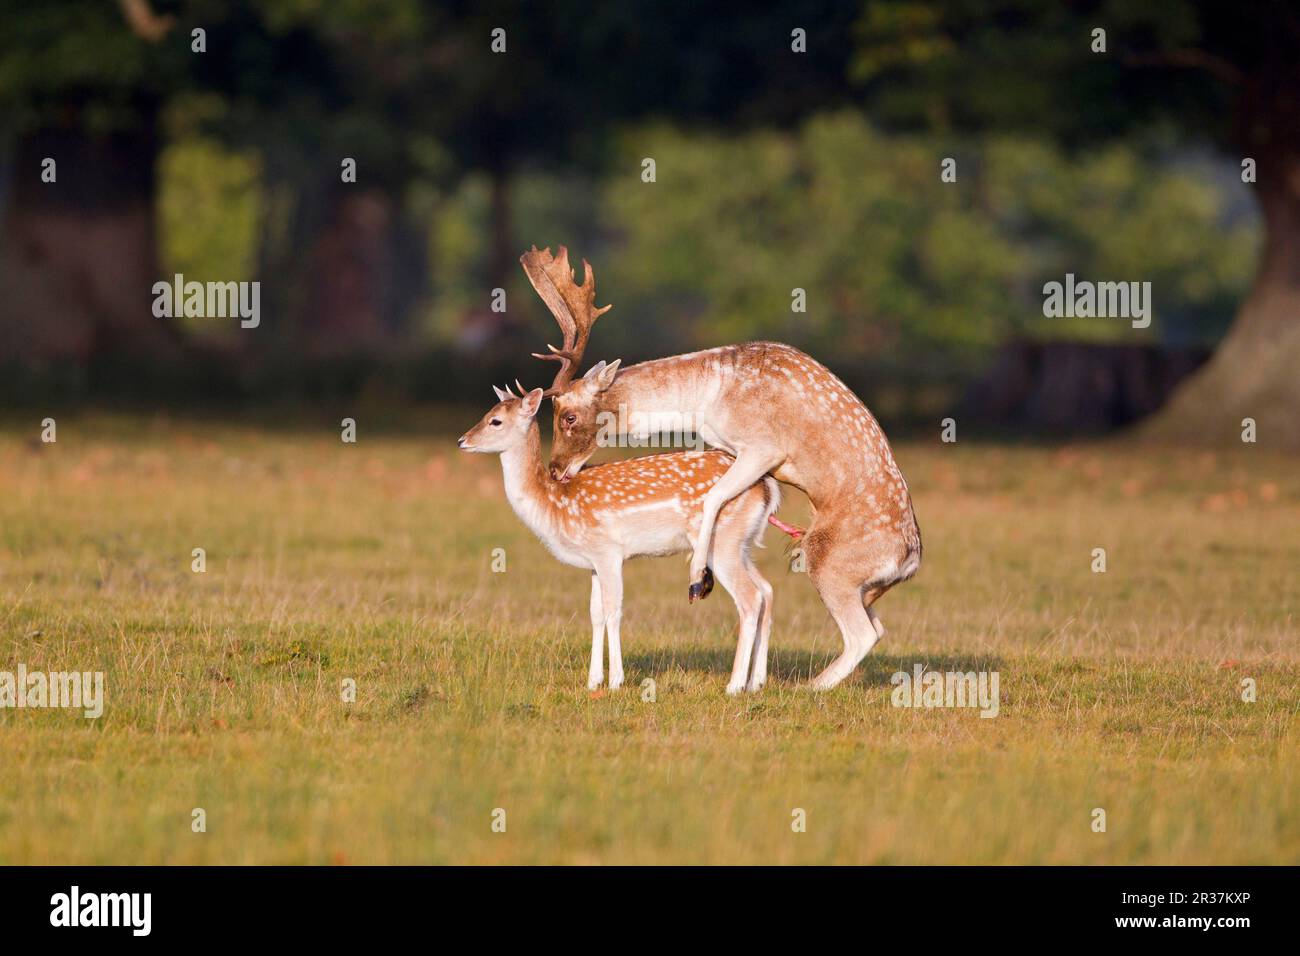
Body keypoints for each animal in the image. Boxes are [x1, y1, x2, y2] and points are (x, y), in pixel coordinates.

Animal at [457, 383, 781, 694]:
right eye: (488, 412)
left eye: (496, 421)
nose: (462, 440)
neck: (555, 505)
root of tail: (768, 488)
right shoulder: (592, 561)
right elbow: (595, 612)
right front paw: (592, 681)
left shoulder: (608, 551)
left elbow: (614, 611)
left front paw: (615, 681)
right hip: (741, 543)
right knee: (766, 589)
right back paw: (756, 682)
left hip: (721, 541)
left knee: (750, 598)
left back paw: (735, 685)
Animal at [520, 246, 922, 690]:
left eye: (568, 416)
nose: (555, 470)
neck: (705, 401)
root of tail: (909, 562)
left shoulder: (763, 446)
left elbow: (713, 498)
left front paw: (699, 578)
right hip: (863, 584)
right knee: (874, 624)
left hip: (830, 559)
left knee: (862, 632)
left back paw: (807, 686)